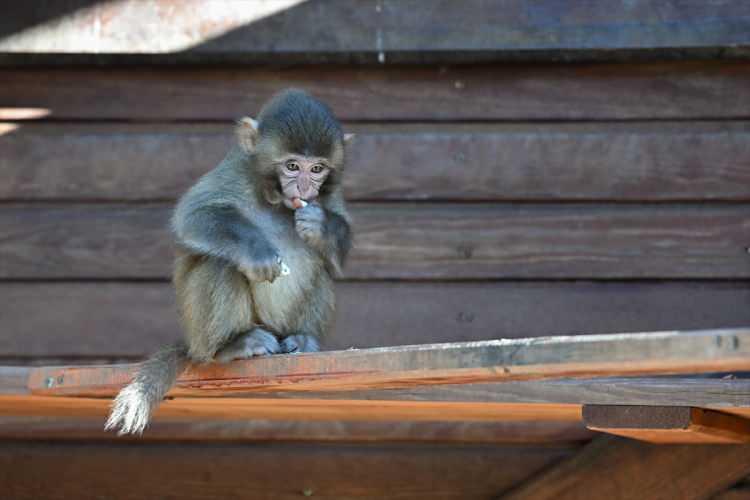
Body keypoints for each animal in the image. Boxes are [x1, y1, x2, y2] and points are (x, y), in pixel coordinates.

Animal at [106, 89, 356, 434]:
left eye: (317, 169)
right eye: (292, 166)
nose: (305, 188)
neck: (273, 197)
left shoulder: (330, 193)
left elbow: (336, 261)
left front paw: (322, 225)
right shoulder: (235, 171)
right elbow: (192, 216)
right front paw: (255, 252)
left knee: (320, 271)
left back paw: (302, 338)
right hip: (202, 336)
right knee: (220, 263)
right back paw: (230, 346)